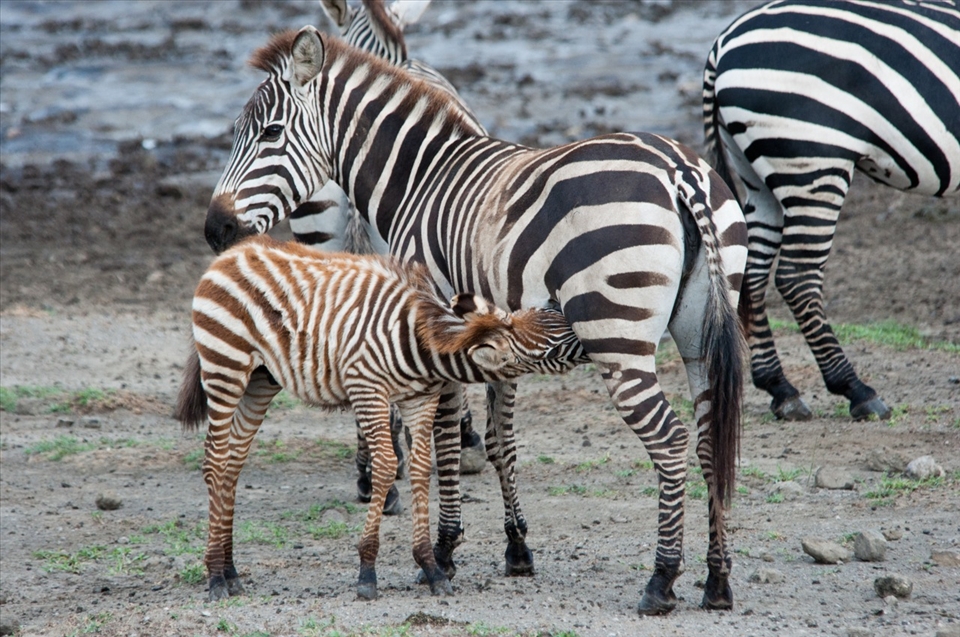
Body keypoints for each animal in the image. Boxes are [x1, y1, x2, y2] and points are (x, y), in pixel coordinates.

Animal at [175, 235, 580, 602]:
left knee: (232, 463)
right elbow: (385, 464)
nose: (561, 302)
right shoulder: (367, 390)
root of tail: (229, 254)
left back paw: (230, 571)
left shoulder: (420, 399)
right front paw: (367, 571)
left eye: (551, 315)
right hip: (225, 365)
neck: (420, 340)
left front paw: (431, 567)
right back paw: (215, 576)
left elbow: (420, 466)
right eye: (554, 348)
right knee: (214, 461)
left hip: (261, 379)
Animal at [703, 0, 960, 421]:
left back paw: (781, 388)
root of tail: (722, 43)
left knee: (752, 273)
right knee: (797, 276)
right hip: (814, 158)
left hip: (756, 173)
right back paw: (856, 389)